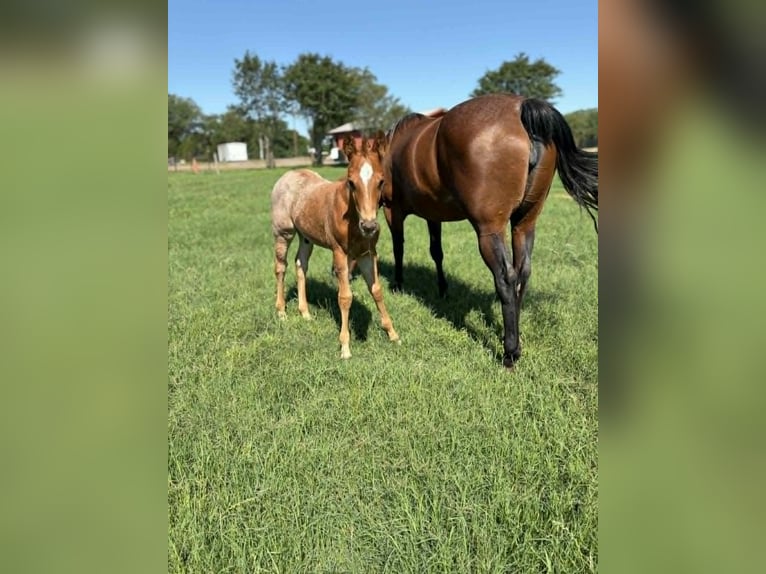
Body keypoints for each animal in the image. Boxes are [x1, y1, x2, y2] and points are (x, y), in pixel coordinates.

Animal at [271, 133, 399, 359]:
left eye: (381, 181)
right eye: (351, 182)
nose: (369, 226)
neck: (353, 218)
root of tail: (287, 175)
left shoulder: (367, 254)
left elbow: (376, 290)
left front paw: (393, 334)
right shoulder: (340, 254)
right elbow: (345, 297)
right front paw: (345, 347)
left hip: (306, 237)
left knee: (300, 264)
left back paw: (305, 313)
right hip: (283, 233)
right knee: (280, 267)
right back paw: (281, 311)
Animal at [382, 93, 598, 369]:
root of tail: (521, 107)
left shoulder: (393, 210)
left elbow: (398, 247)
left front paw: (398, 284)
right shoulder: (433, 214)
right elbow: (436, 252)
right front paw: (442, 289)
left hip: (489, 231)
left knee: (506, 278)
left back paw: (510, 352)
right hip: (524, 223)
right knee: (522, 272)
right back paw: (515, 338)